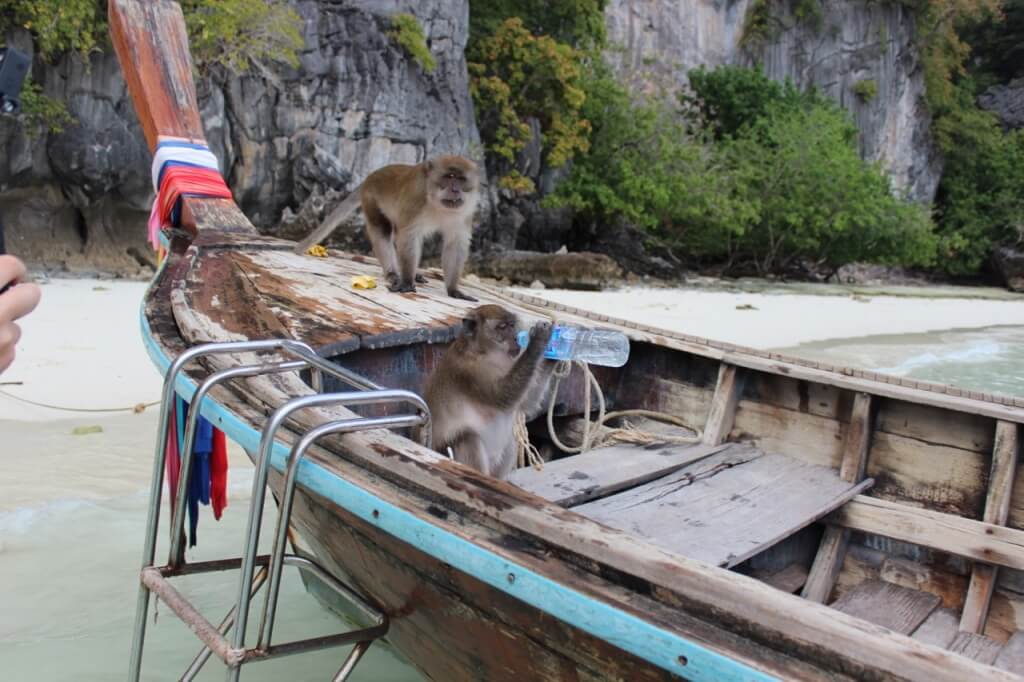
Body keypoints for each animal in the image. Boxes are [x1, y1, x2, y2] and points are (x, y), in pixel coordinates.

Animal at [294, 157, 481, 301]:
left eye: (461, 179)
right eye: (449, 176)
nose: (455, 189)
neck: (436, 203)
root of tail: (371, 176)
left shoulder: (464, 212)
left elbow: (455, 244)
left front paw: (453, 289)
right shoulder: (415, 199)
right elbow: (408, 236)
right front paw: (407, 282)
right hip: (370, 199)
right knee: (382, 230)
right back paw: (393, 274)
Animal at [421, 303, 552, 477]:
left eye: (512, 325)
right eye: (502, 327)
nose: (516, 338)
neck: (484, 353)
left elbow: (526, 404)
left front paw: (555, 358)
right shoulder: (470, 373)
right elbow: (503, 396)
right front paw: (538, 341)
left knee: (510, 439)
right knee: (467, 438)